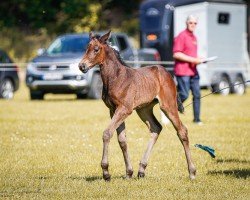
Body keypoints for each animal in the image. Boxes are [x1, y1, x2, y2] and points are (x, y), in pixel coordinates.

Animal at [78, 30, 195, 180]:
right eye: (86, 48)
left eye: (96, 49)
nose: (82, 66)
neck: (116, 78)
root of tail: (167, 73)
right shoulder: (113, 109)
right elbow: (122, 139)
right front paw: (129, 172)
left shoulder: (124, 109)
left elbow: (107, 133)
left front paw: (106, 172)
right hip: (144, 109)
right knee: (156, 128)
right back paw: (141, 169)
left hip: (168, 106)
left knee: (182, 131)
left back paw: (192, 172)